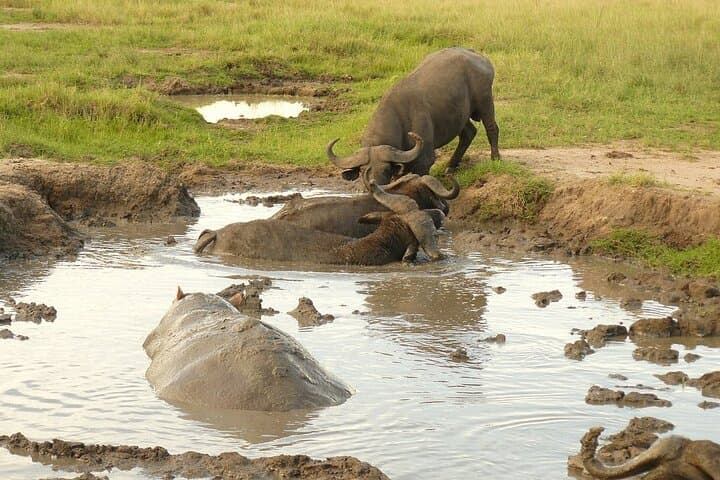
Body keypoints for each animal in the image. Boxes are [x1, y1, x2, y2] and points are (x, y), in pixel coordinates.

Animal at [327, 47, 500, 185]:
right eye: (363, 170)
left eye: (386, 170)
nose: (373, 184)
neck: (400, 121)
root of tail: (479, 57)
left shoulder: (424, 161)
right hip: (459, 115)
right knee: (468, 132)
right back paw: (450, 166)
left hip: (485, 101)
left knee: (492, 128)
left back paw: (495, 158)